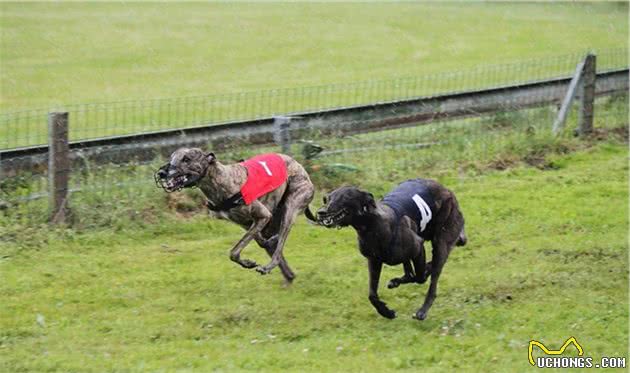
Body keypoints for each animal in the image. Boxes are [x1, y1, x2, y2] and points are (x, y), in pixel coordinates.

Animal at [156, 148, 318, 282]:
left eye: (186, 159)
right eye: (172, 158)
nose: (161, 173)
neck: (221, 179)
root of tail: (297, 163)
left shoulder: (263, 216)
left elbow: (234, 251)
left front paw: (249, 261)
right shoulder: (247, 223)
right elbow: (257, 241)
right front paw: (250, 260)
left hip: (291, 205)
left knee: (279, 249)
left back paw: (269, 266)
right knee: (274, 244)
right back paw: (288, 274)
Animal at [318, 179, 466, 318]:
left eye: (345, 197)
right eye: (327, 199)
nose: (321, 212)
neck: (372, 225)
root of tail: (446, 190)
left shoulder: (418, 247)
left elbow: (420, 277)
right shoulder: (374, 261)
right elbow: (372, 294)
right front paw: (386, 312)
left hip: (441, 243)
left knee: (432, 279)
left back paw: (422, 311)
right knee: (410, 273)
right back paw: (398, 281)